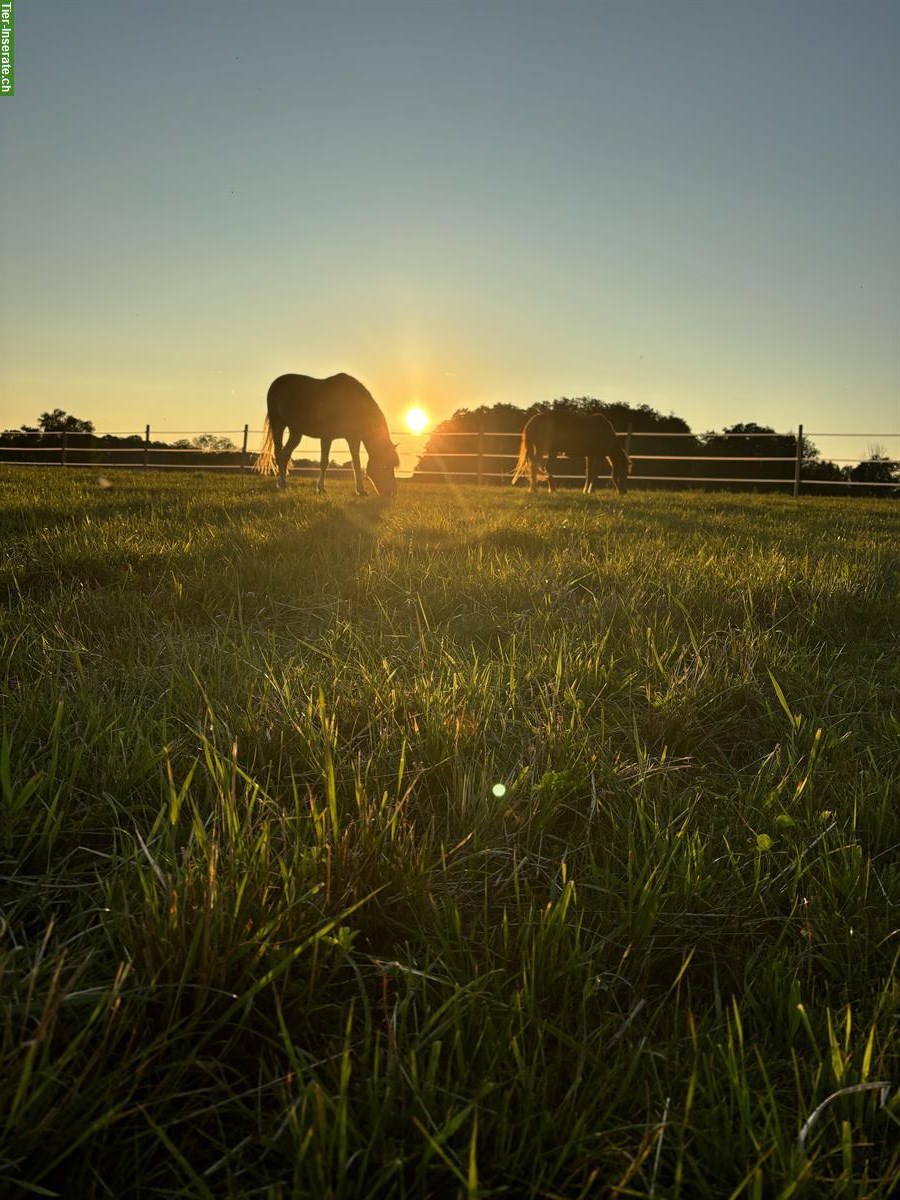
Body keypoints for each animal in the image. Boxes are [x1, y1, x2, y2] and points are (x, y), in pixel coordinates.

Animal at [260, 369, 400, 492]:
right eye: (385, 466)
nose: (392, 492)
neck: (350, 402)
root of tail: (276, 383)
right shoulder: (327, 437)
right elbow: (324, 462)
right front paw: (320, 488)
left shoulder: (353, 439)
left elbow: (356, 463)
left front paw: (361, 490)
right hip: (278, 424)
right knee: (279, 453)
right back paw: (282, 483)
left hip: (296, 432)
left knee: (285, 454)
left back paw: (282, 483)